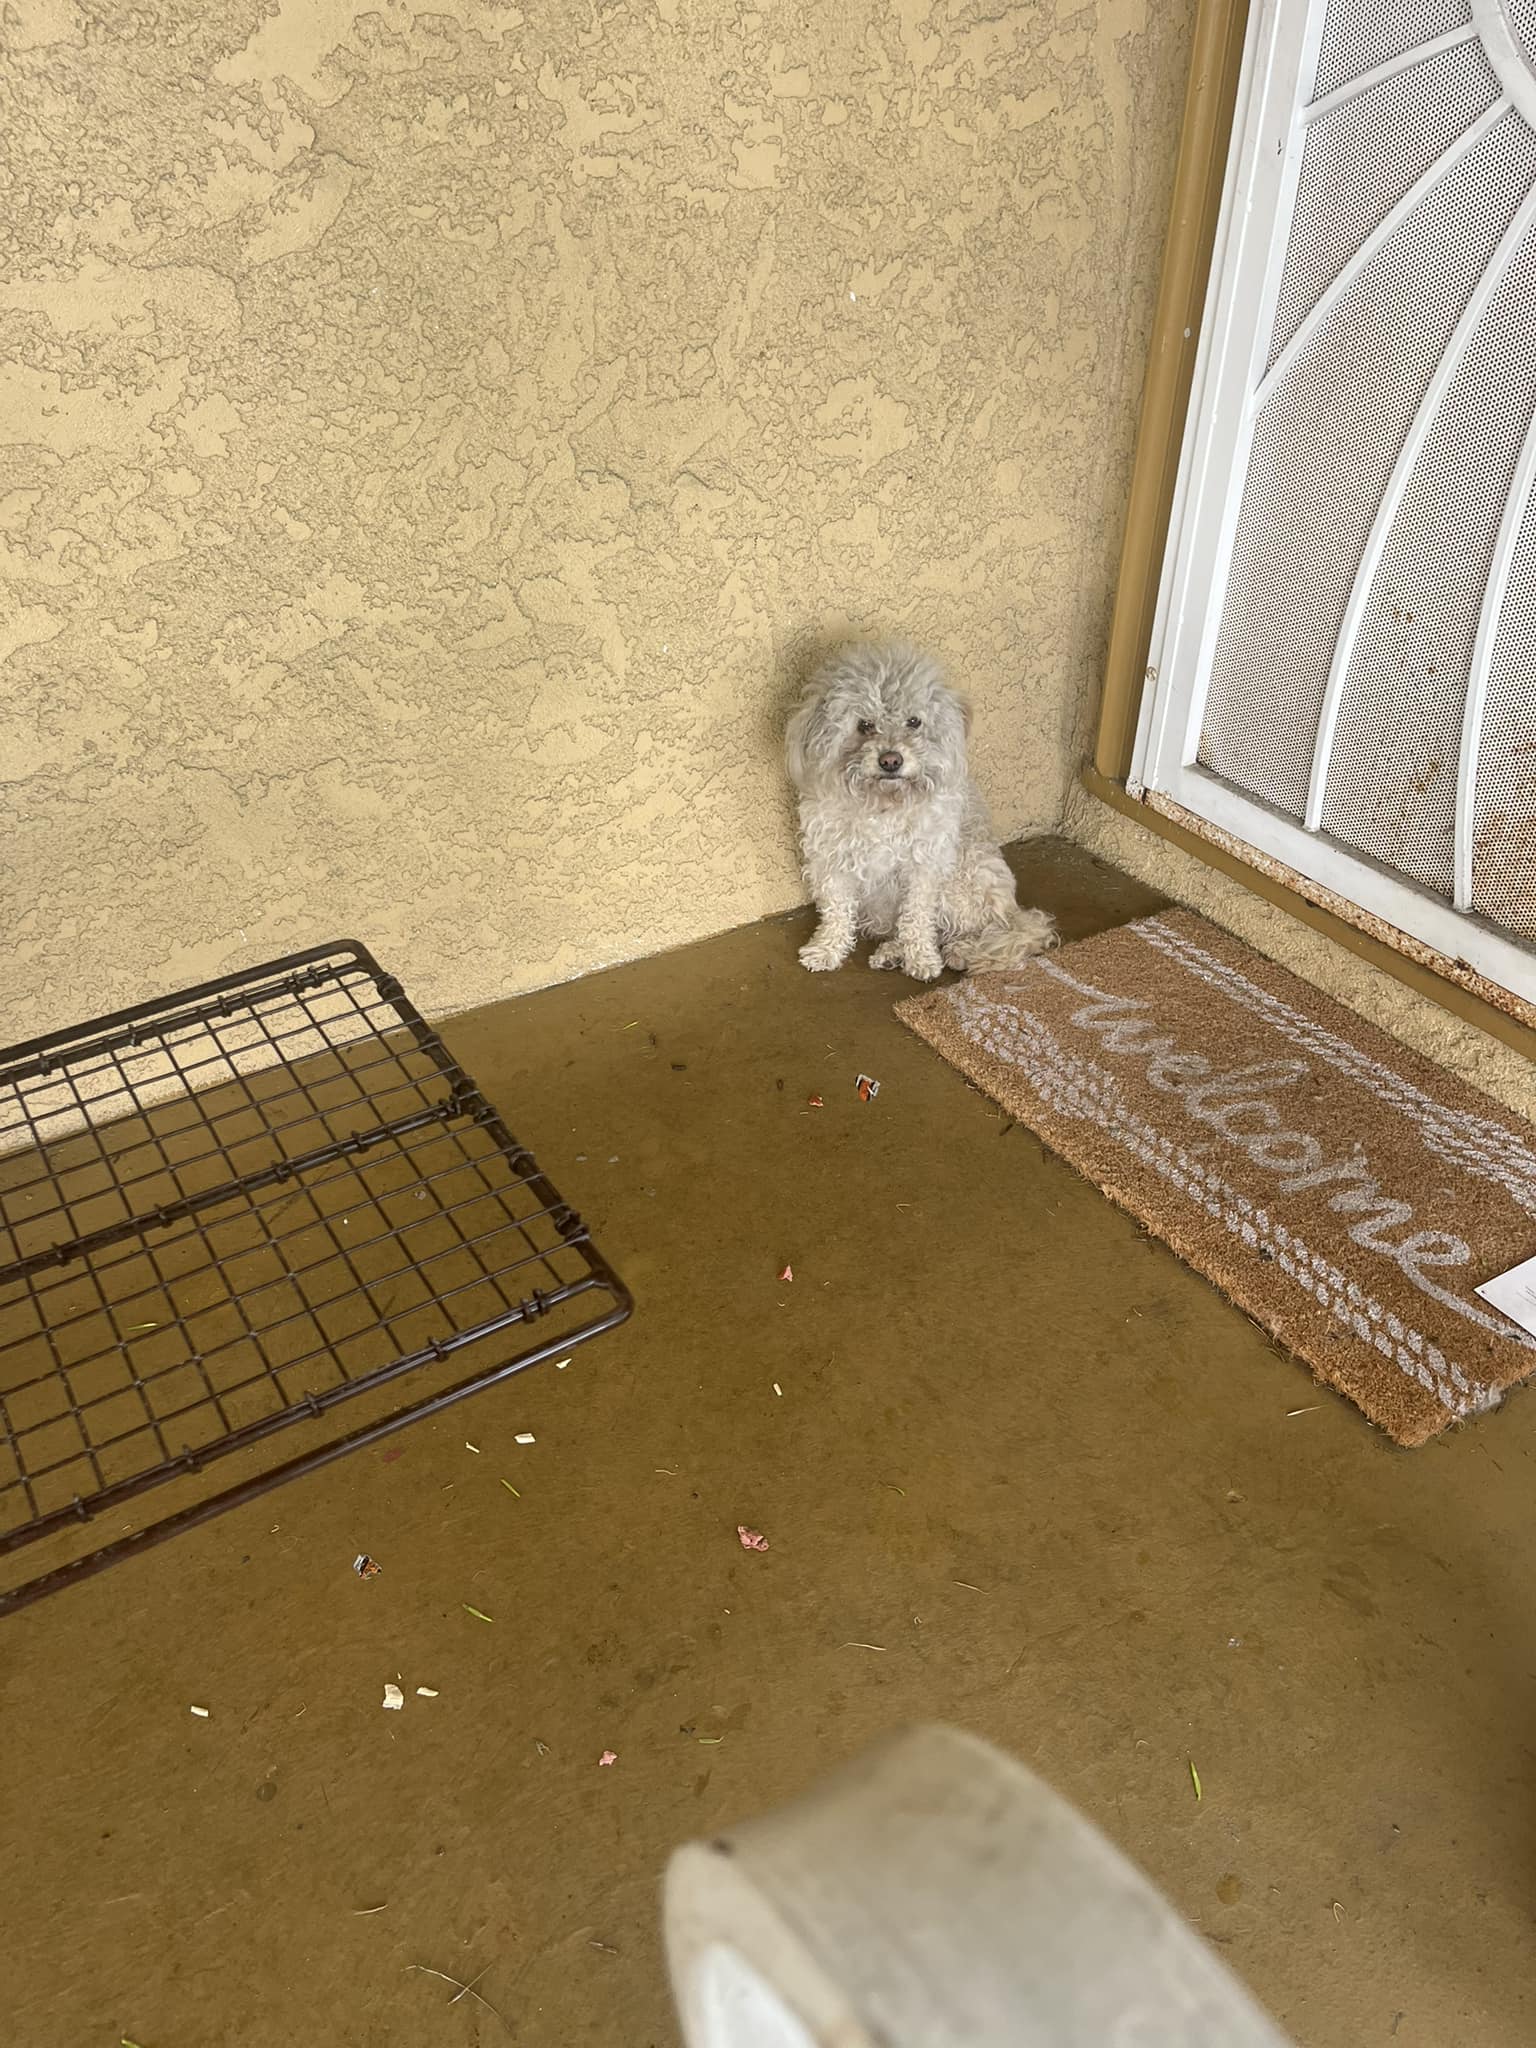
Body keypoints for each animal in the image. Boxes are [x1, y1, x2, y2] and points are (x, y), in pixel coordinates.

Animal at [794, 647, 1056, 983]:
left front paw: (922, 959)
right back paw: (892, 953)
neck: (884, 804)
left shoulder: (923, 867)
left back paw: (960, 951)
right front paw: (826, 950)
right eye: (864, 724)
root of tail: (1013, 910)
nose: (891, 760)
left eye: (914, 721)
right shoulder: (832, 861)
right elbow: (836, 913)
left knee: (979, 931)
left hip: (963, 879)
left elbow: (917, 919)